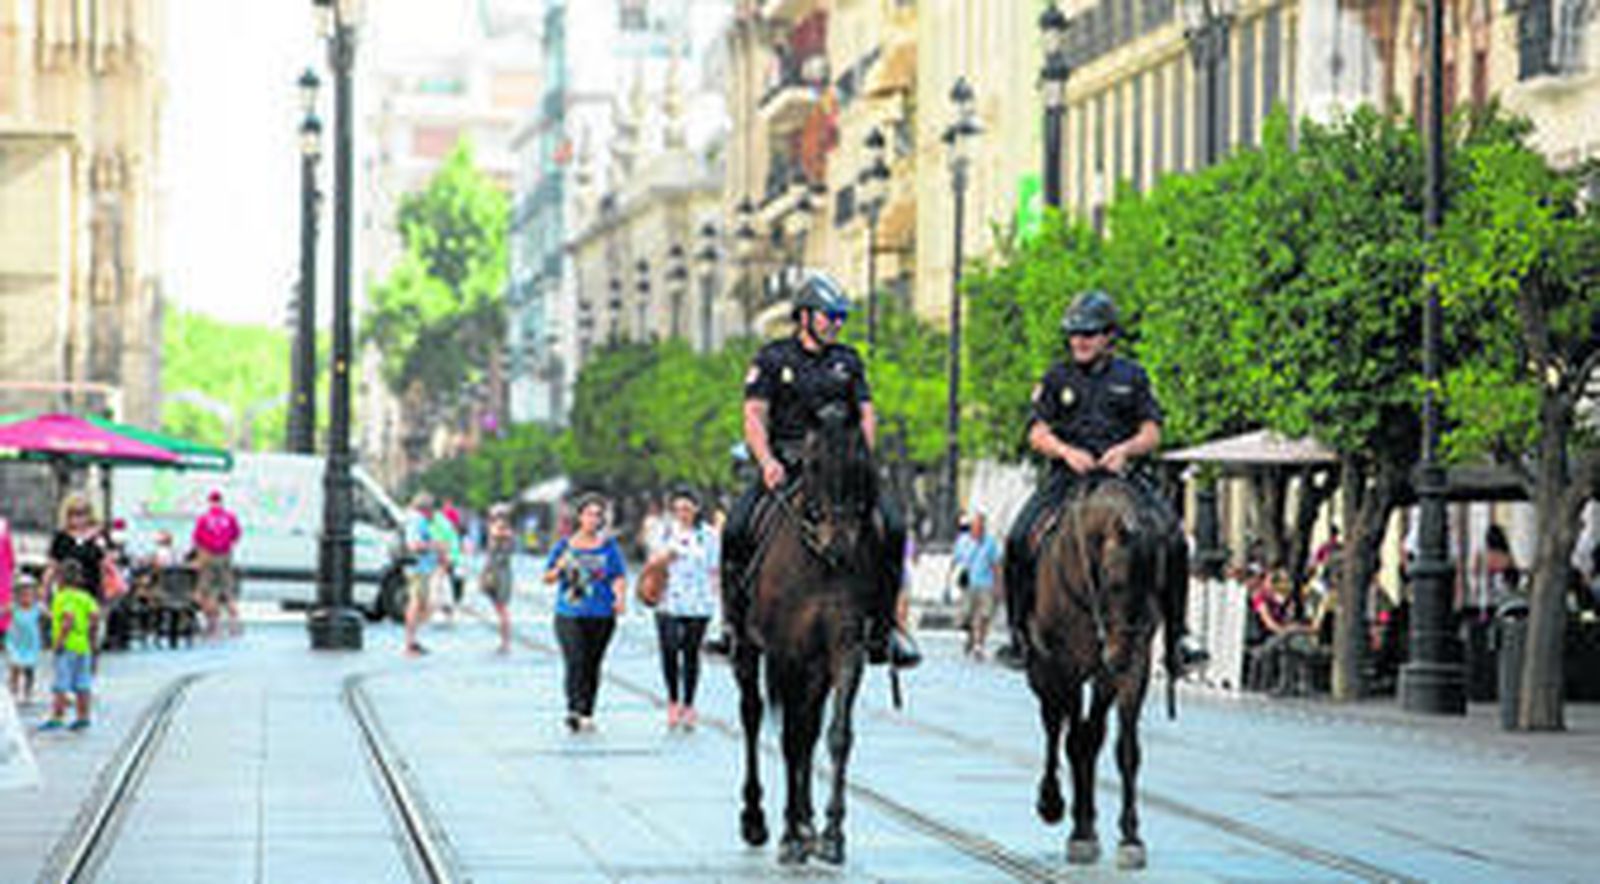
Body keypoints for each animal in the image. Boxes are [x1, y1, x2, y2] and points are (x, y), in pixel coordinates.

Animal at [729, 402, 880, 866]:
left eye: (860, 464)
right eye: (812, 465)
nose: (840, 543)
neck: (819, 564)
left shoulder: (846, 651)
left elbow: (835, 735)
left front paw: (831, 833)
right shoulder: (785, 654)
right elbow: (789, 738)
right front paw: (790, 835)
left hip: (816, 668)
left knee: (811, 728)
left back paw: (809, 823)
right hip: (749, 650)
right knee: (754, 716)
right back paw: (757, 820)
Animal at [1026, 474, 1181, 870]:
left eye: (1157, 583)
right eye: (1115, 584)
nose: (1119, 654)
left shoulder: (1132, 668)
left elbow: (1123, 748)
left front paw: (1129, 837)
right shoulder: (1065, 665)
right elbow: (1072, 740)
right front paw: (1078, 829)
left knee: (1088, 733)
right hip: (1043, 670)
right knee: (1053, 725)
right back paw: (1051, 801)